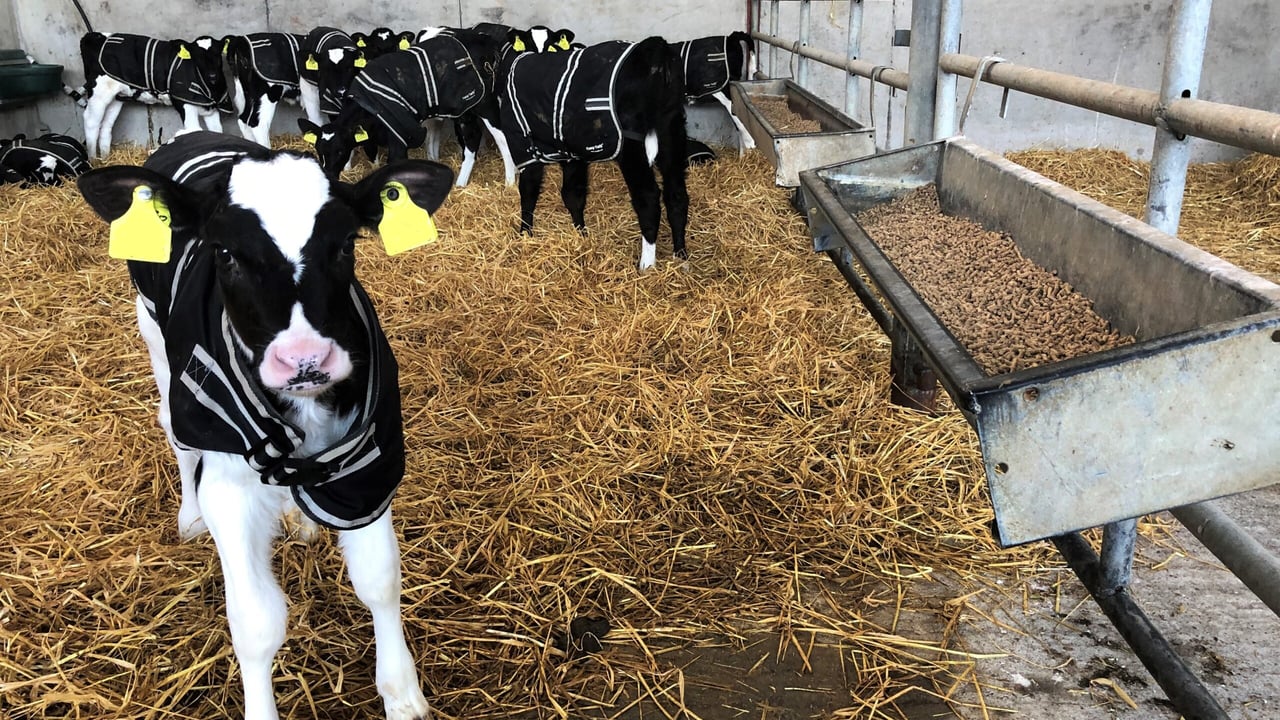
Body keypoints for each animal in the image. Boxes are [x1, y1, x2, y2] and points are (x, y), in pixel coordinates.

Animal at [75, 32, 232, 159]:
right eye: (197, 57)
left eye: (217, 55)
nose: (212, 76)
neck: (209, 88)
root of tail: (94, 35)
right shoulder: (184, 104)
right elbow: (195, 131)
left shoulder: (211, 109)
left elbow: (217, 132)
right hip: (99, 93)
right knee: (91, 121)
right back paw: (94, 161)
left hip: (116, 97)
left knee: (106, 126)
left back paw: (105, 159)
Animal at [75, 131, 453, 720]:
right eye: (225, 253)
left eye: (345, 245)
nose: (305, 359)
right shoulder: (230, 488)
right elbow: (256, 623)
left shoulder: (368, 466)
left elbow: (380, 580)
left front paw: (402, 693)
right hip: (156, 338)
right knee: (174, 428)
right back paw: (189, 516)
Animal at [498, 28, 690, 271]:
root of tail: (655, 46)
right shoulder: (572, 152)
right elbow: (573, 194)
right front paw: (581, 236)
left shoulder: (522, 142)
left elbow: (528, 191)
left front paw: (524, 234)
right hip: (672, 132)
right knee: (677, 196)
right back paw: (681, 258)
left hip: (631, 143)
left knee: (648, 198)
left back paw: (646, 265)